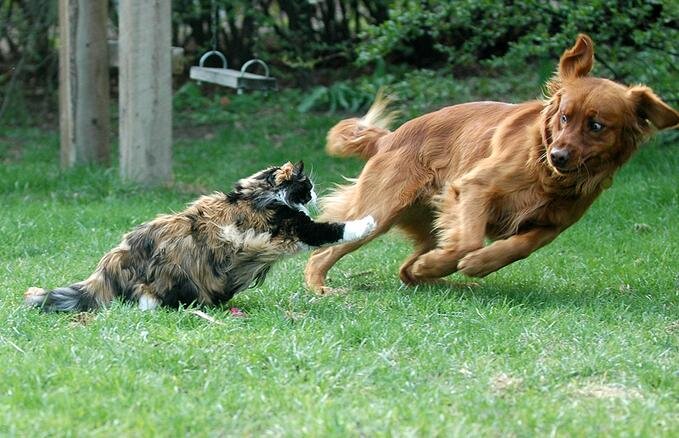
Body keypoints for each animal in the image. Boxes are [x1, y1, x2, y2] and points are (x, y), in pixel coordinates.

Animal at [25, 162, 378, 312]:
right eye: (306, 185)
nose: (315, 192)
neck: (259, 194)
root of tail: (116, 258)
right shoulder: (297, 227)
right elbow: (336, 228)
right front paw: (369, 221)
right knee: (146, 297)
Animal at [306, 35, 676, 294]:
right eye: (564, 117)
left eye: (596, 126)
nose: (558, 155)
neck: (544, 171)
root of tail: (388, 138)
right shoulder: (474, 187)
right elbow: (469, 241)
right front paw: (456, 262)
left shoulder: (551, 225)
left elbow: (518, 248)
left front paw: (478, 265)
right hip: (378, 213)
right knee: (321, 254)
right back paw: (322, 288)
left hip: (428, 222)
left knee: (406, 271)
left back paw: (443, 278)